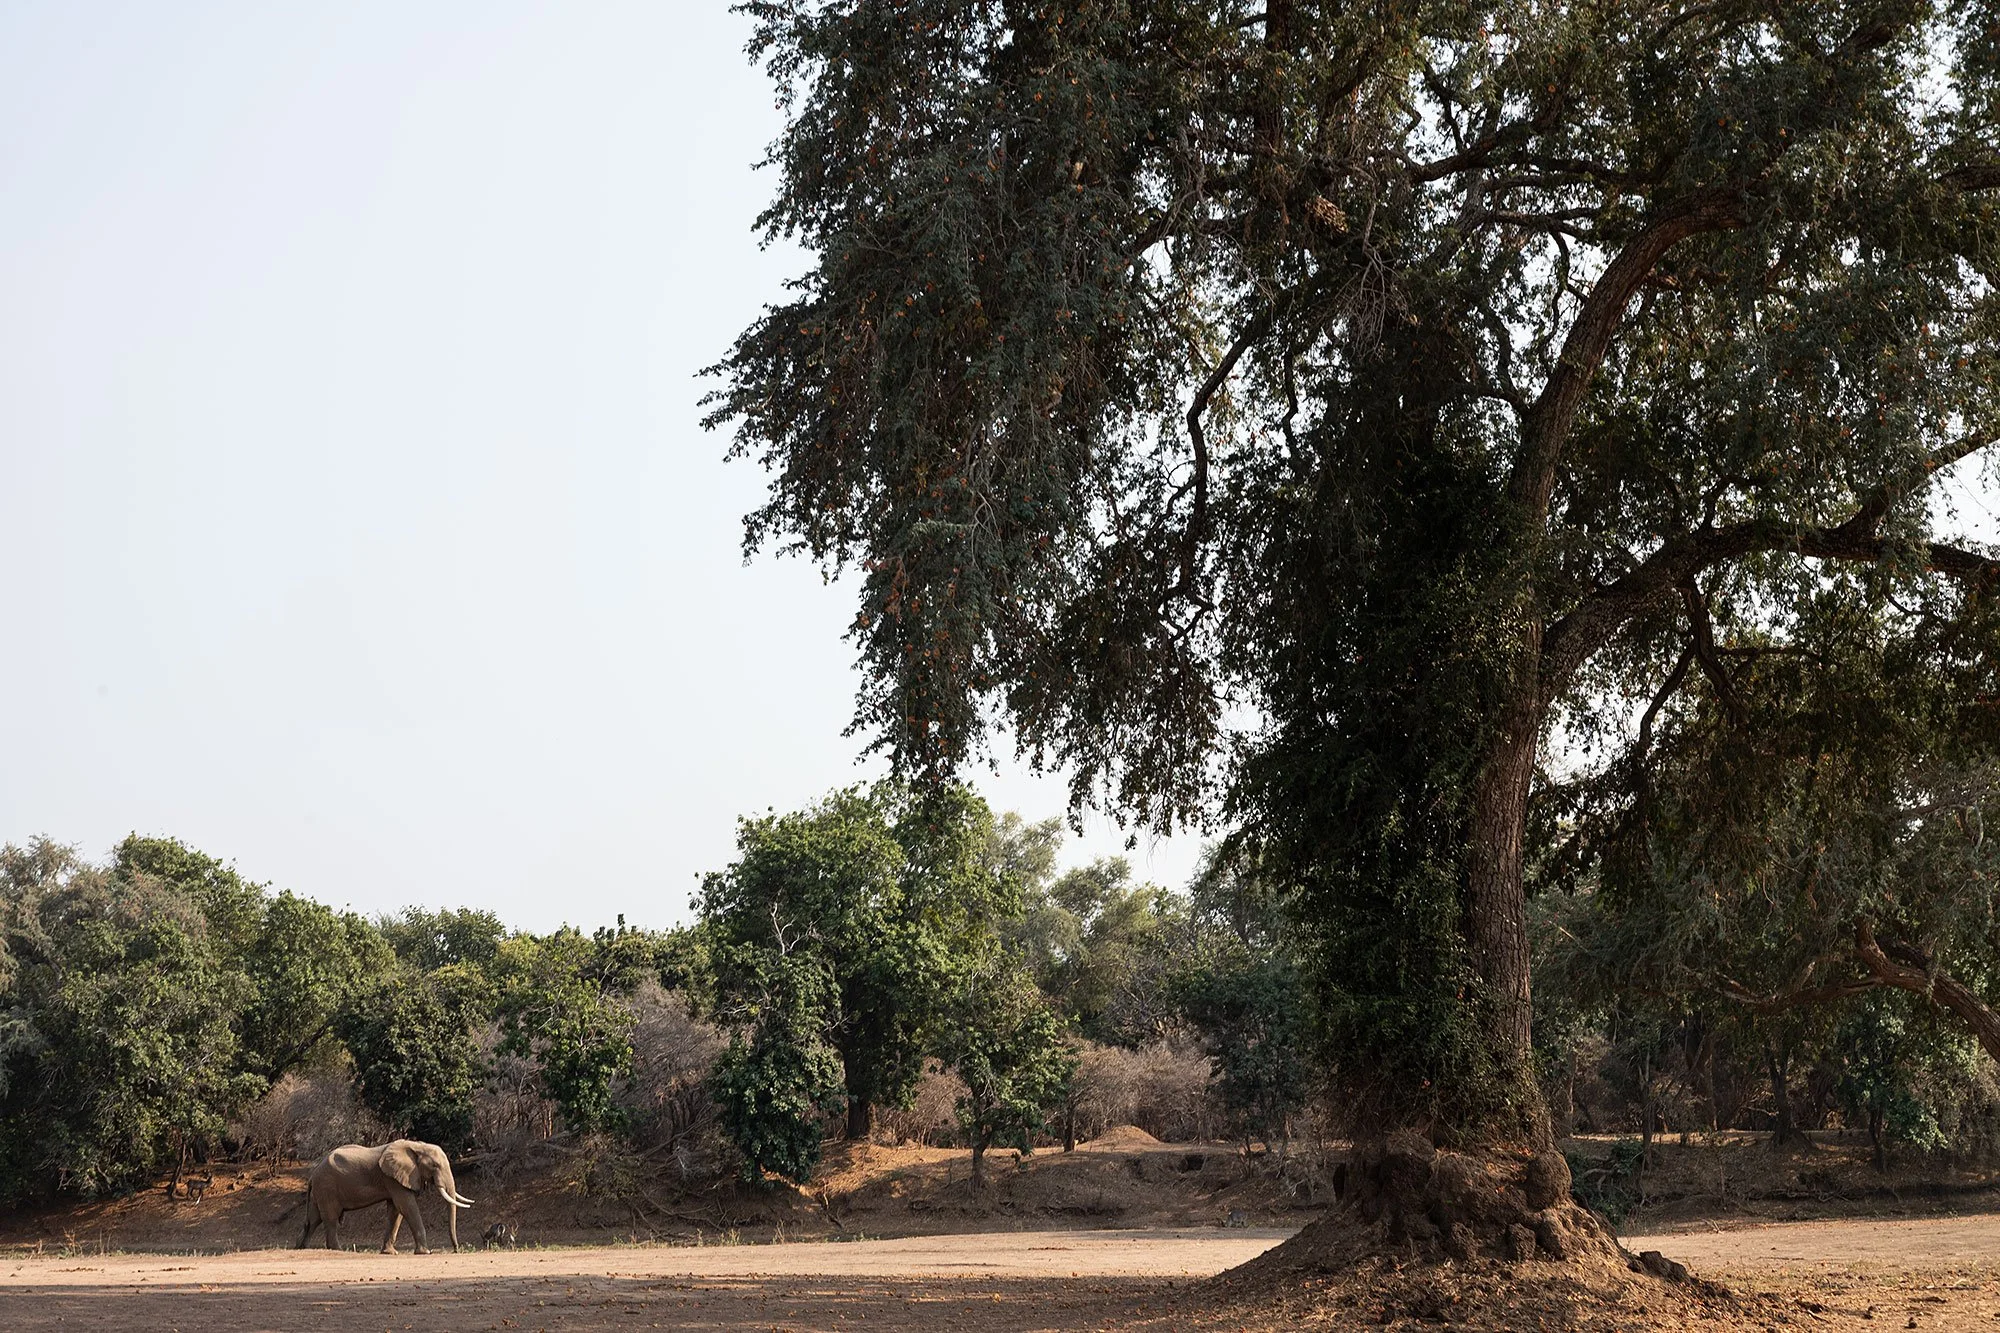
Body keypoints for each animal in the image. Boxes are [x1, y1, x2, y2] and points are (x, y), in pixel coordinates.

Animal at [296, 1140, 473, 1254]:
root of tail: (312, 1175)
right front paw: (425, 1252)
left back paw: (301, 1248)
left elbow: (395, 1211)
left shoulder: (394, 1178)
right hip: (327, 1187)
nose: (457, 1250)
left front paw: (389, 1253)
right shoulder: (392, 1178)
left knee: (313, 1219)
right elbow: (406, 1206)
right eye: (435, 1166)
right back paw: (337, 1250)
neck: (417, 1146)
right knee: (330, 1217)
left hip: (320, 1190)